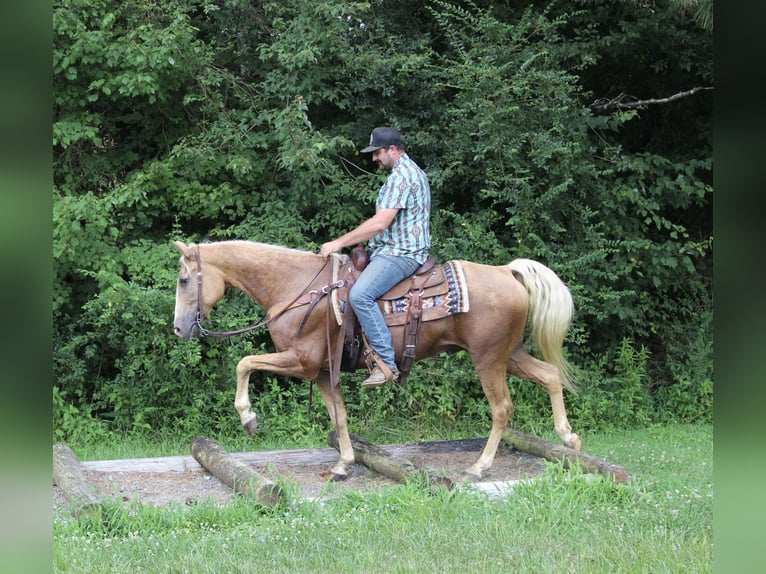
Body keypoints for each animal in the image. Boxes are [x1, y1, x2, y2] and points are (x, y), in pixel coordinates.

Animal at [172, 239, 581, 481]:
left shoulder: (301, 361)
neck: (297, 288)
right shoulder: (322, 372)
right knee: (549, 375)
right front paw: (343, 464)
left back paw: (480, 466)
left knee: (501, 408)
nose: (179, 328)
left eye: (183, 280)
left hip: (489, 359)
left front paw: (248, 418)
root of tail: (505, 271)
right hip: (509, 354)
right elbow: (338, 415)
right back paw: (569, 439)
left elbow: (244, 362)